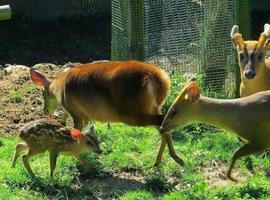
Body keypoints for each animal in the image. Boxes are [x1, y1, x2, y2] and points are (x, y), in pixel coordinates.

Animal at [30, 60, 184, 166]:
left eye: (43, 94)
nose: (45, 110)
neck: (60, 87)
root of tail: (160, 79)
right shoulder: (86, 116)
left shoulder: (76, 112)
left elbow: (76, 132)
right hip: (151, 107)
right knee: (162, 124)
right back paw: (162, 161)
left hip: (131, 111)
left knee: (162, 121)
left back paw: (173, 157)